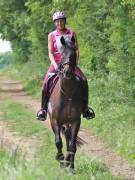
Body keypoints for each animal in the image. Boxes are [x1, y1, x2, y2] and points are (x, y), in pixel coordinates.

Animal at [47, 34, 84, 173]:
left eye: (73, 54)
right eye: (62, 54)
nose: (67, 72)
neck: (67, 93)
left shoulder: (75, 122)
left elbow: (72, 146)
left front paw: (70, 166)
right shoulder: (55, 121)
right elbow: (58, 142)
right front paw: (60, 159)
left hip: (68, 123)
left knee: (69, 141)